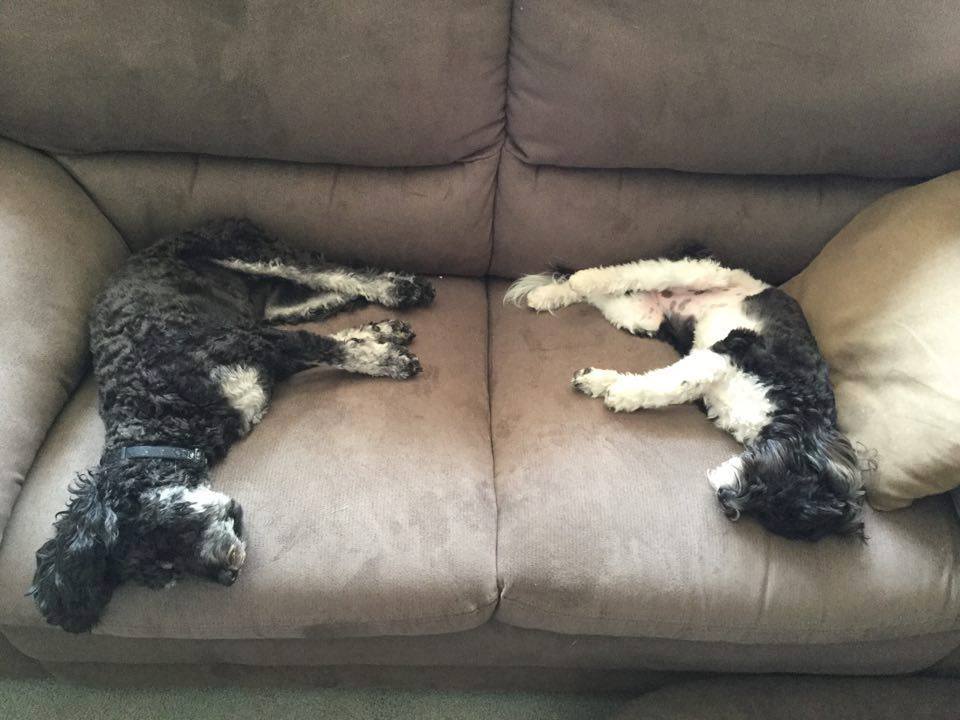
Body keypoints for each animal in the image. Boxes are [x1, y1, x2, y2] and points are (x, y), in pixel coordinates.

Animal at [31, 218, 436, 632]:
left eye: (169, 537)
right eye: (168, 573)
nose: (228, 576)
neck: (157, 416)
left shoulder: (253, 341)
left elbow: (330, 349)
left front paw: (385, 359)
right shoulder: (267, 354)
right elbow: (331, 343)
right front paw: (377, 339)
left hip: (243, 251)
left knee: (329, 270)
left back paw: (398, 288)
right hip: (267, 305)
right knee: (309, 295)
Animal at [506, 248, 868, 540]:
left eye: (769, 512)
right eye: (764, 482)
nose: (725, 499)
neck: (790, 410)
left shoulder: (708, 381)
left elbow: (666, 384)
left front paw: (604, 384)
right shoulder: (733, 350)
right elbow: (672, 383)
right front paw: (620, 394)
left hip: (642, 316)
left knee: (604, 296)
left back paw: (548, 295)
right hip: (707, 274)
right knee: (632, 272)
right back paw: (579, 280)